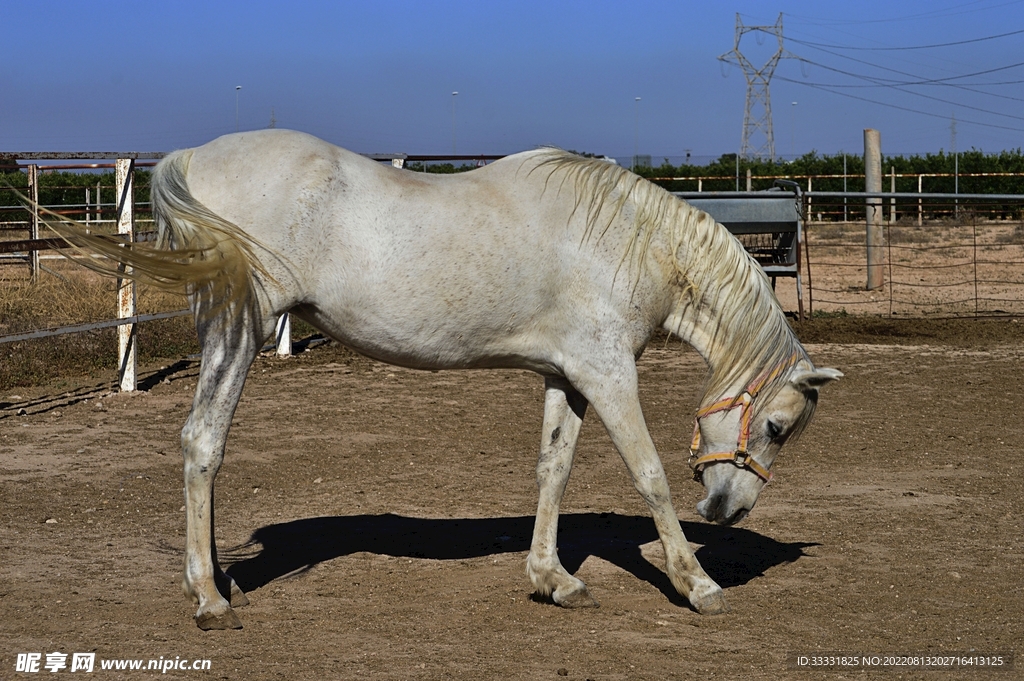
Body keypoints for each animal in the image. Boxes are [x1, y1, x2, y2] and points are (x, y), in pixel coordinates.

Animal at [46, 129, 841, 629]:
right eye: (776, 427)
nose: (730, 510)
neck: (629, 240)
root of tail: (193, 157)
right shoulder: (610, 374)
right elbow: (648, 476)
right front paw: (698, 584)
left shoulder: (568, 377)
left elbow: (553, 469)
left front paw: (553, 579)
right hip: (238, 336)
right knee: (202, 442)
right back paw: (210, 599)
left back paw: (212, 580)